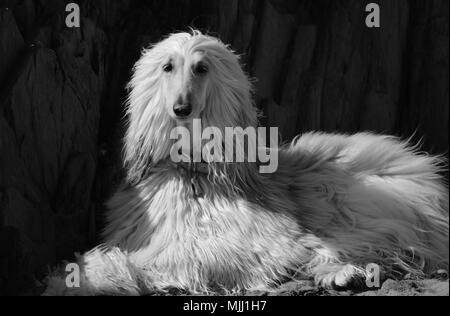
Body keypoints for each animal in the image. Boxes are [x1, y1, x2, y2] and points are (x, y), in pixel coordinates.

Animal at [44, 30, 446, 296]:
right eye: (167, 67)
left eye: (201, 68)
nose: (181, 109)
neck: (196, 173)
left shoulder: (274, 238)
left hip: (345, 195)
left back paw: (344, 273)